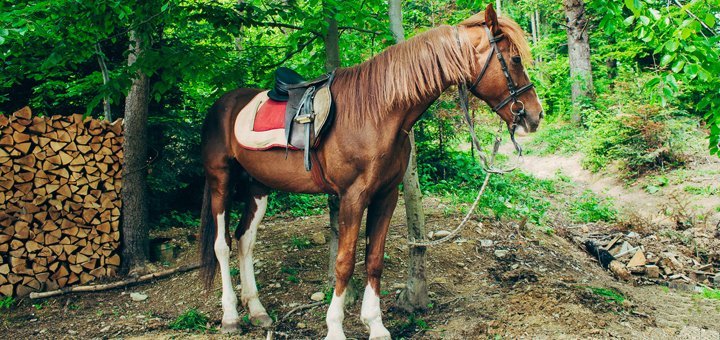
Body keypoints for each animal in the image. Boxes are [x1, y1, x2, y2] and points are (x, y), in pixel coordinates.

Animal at [197, 5, 540, 340]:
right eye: (515, 59)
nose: (535, 116)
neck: (378, 112)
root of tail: (222, 105)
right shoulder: (352, 196)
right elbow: (345, 262)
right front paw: (335, 328)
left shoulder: (386, 195)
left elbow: (374, 259)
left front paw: (375, 324)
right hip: (220, 180)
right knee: (222, 244)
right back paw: (230, 316)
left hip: (258, 187)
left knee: (245, 239)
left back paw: (257, 311)